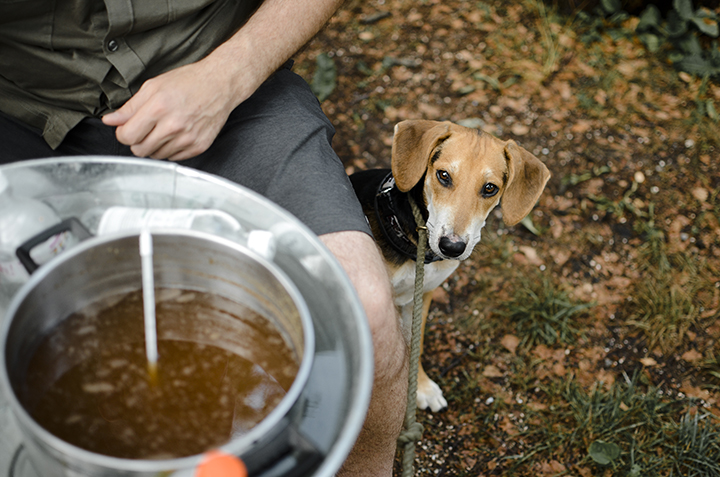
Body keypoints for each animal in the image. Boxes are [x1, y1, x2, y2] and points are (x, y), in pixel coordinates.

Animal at [350, 118, 552, 410]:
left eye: (490, 188)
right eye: (443, 175)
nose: (452, 247)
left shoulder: (420, 296)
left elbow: (415, 346)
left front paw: (420, 387)